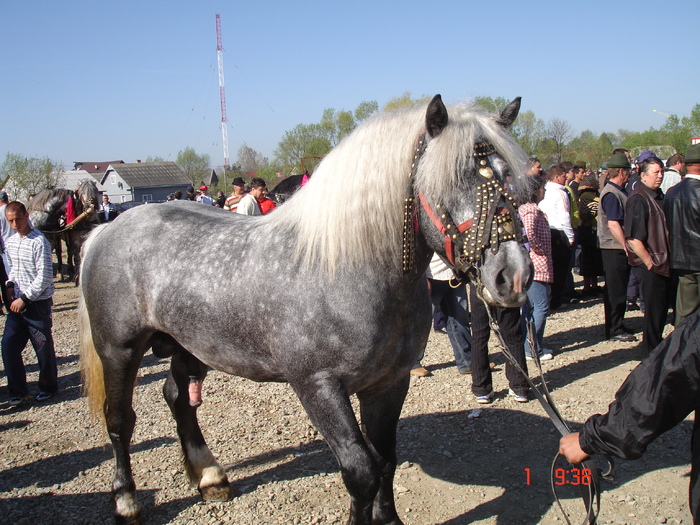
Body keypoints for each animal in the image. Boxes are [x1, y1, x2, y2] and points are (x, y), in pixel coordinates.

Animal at [79, 95, 532, 524]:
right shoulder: (317, 386)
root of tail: (109, 228)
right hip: (119, 350)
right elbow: (361, 472)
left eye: (509, 176)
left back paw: (210, 478)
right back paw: (127, 502)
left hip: (189, 345)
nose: (514, 276)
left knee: (177, 398)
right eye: (452, 177)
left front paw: (388, 518)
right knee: (119, 421)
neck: (347, 268)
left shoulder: (389, 382)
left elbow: (385, 461)